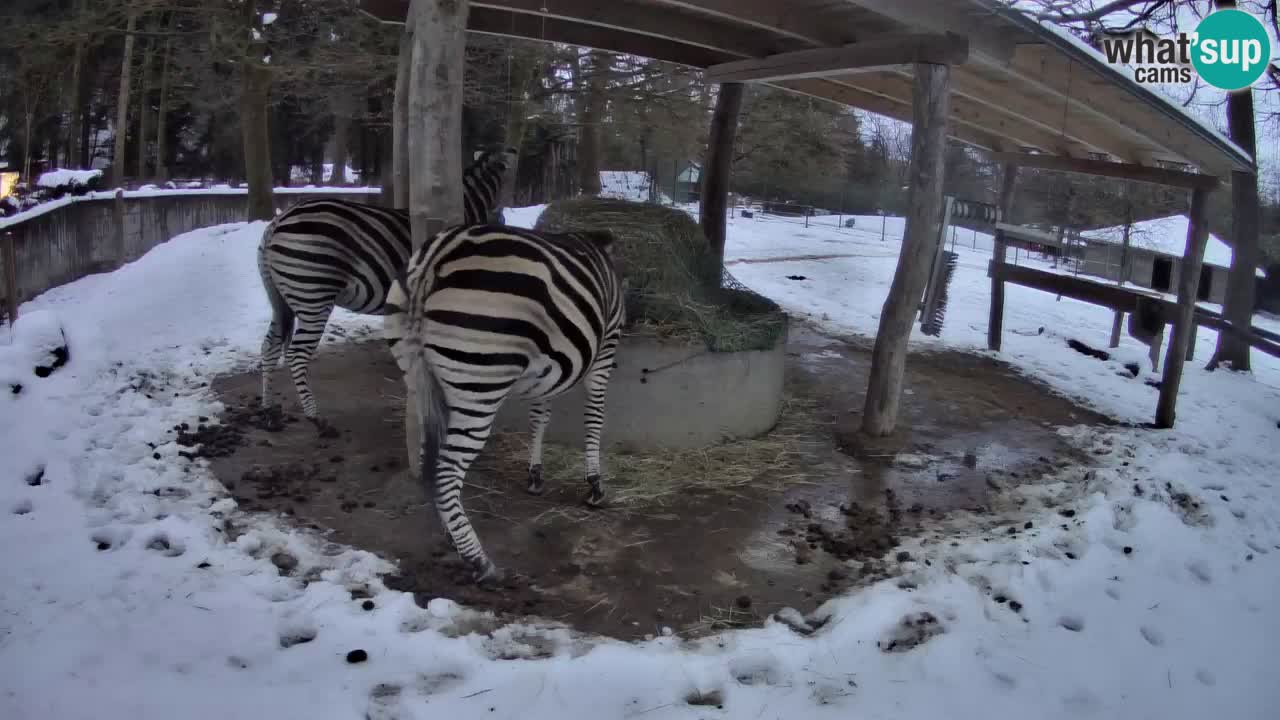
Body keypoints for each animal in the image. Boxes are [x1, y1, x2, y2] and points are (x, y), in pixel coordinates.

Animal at [256, 147, 517, 422]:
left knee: (270, 345)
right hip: (312, 294)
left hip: (281, 298)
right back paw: (315, 417)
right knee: (296, 354)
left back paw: (268, 407)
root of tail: (278, 221)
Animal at [383, 223, 626, 583]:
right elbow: (594, 415)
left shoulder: (548, 368)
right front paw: (595, 485)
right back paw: (478, 561)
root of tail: (434, 259)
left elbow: (540, 416)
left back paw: (453, 533)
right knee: (445, 471)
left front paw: (535, 475)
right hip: (479, 382)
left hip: (419, 376)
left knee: (433, 463)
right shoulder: (606, 347)